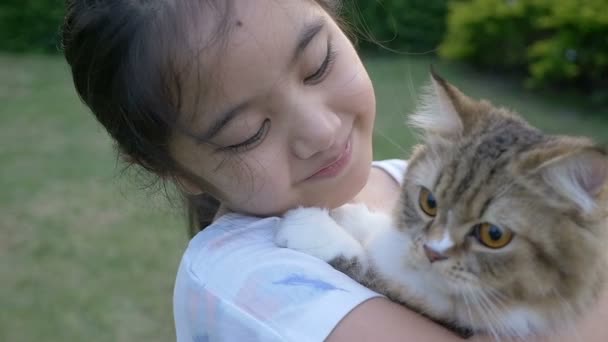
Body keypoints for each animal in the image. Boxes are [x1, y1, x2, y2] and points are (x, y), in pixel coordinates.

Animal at [274, 72, 608, 340]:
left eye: (494, 235)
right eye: (429, 202)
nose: (432, 252)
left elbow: (375, 273)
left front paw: (313, 227)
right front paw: (349, 217)